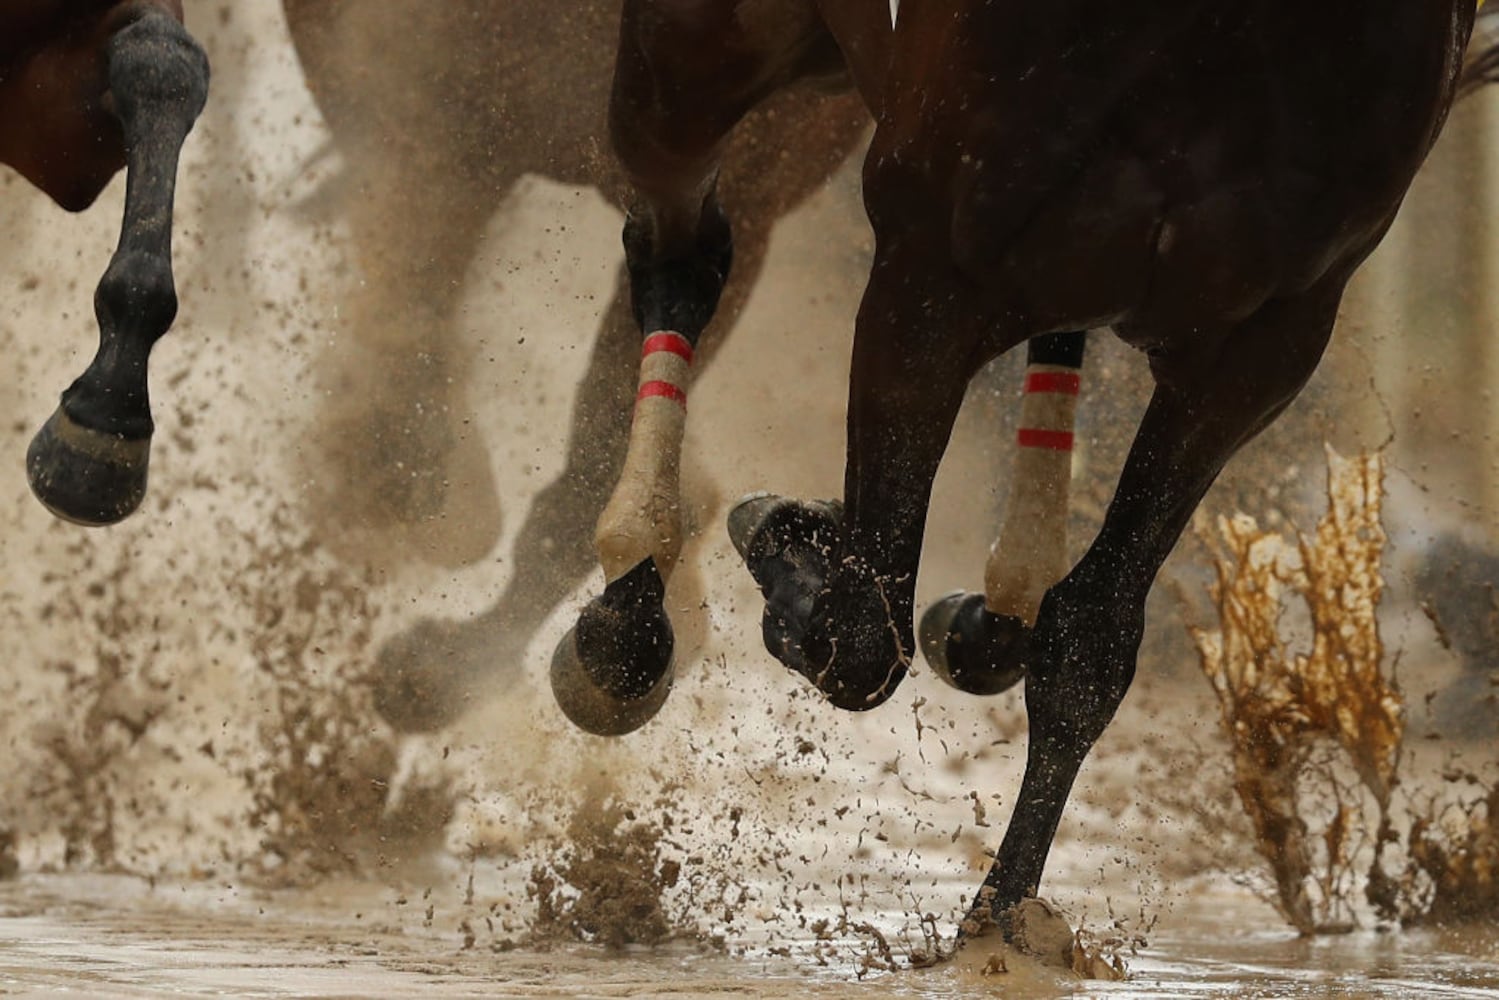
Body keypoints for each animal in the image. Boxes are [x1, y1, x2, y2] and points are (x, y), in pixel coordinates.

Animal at [569, 0, 1487, 941]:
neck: (1210, 37)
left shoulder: (1258, 346)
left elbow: (1088, 641)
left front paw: (1004, 912)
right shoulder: (930, 268)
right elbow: (861, 634)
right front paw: (789, 539)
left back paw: (992, 607)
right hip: (695, 58)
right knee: (679, 244)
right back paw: (627, 607)